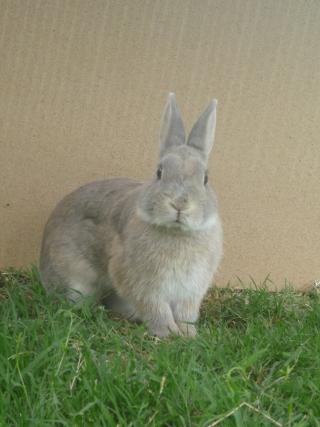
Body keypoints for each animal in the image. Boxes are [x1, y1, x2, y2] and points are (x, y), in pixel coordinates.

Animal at [39, 93, 222, 338]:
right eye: (159, 172)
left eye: (206, 179)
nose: (179, 204)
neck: (177, 233)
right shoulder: (142, 284)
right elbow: (156, 308)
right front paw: (167, 332)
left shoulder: (190, 291)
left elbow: (185, 313)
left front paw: (188, 334)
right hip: (76, 281)